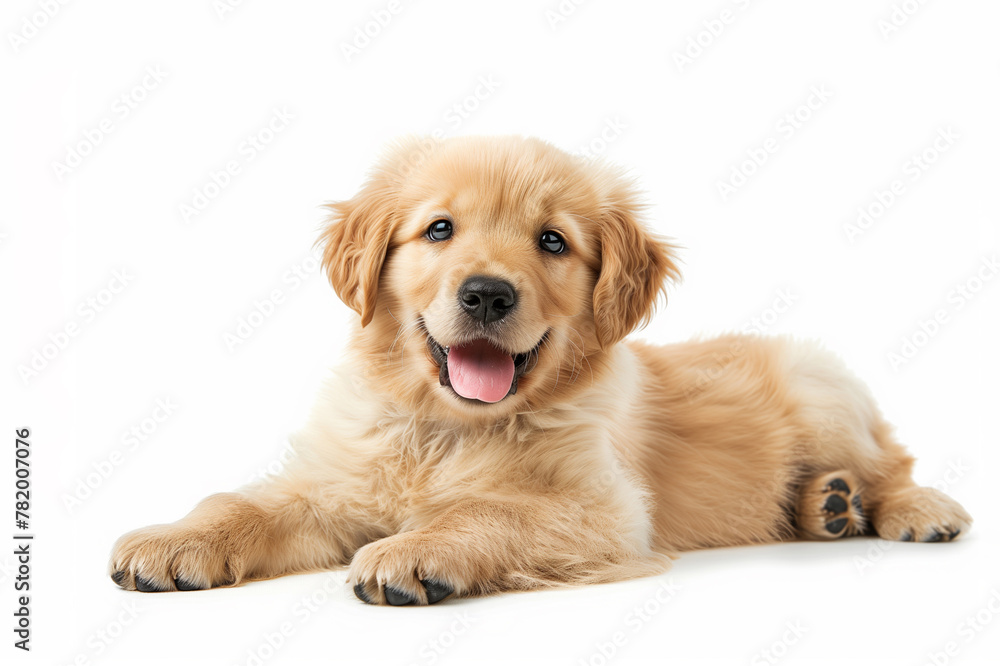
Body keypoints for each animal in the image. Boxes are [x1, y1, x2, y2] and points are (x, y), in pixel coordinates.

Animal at [109, 134, 968, 600]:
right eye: (439, 230)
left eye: (552, 241)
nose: (488, 293)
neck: (445, 428)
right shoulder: (334, 482)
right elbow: (241, 501)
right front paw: (172, 542)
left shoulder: (604, 509)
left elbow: (490, 511)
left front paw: (415, 549)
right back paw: (827, 506)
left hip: (820, 386)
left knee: (892, 460)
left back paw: (903, 506)